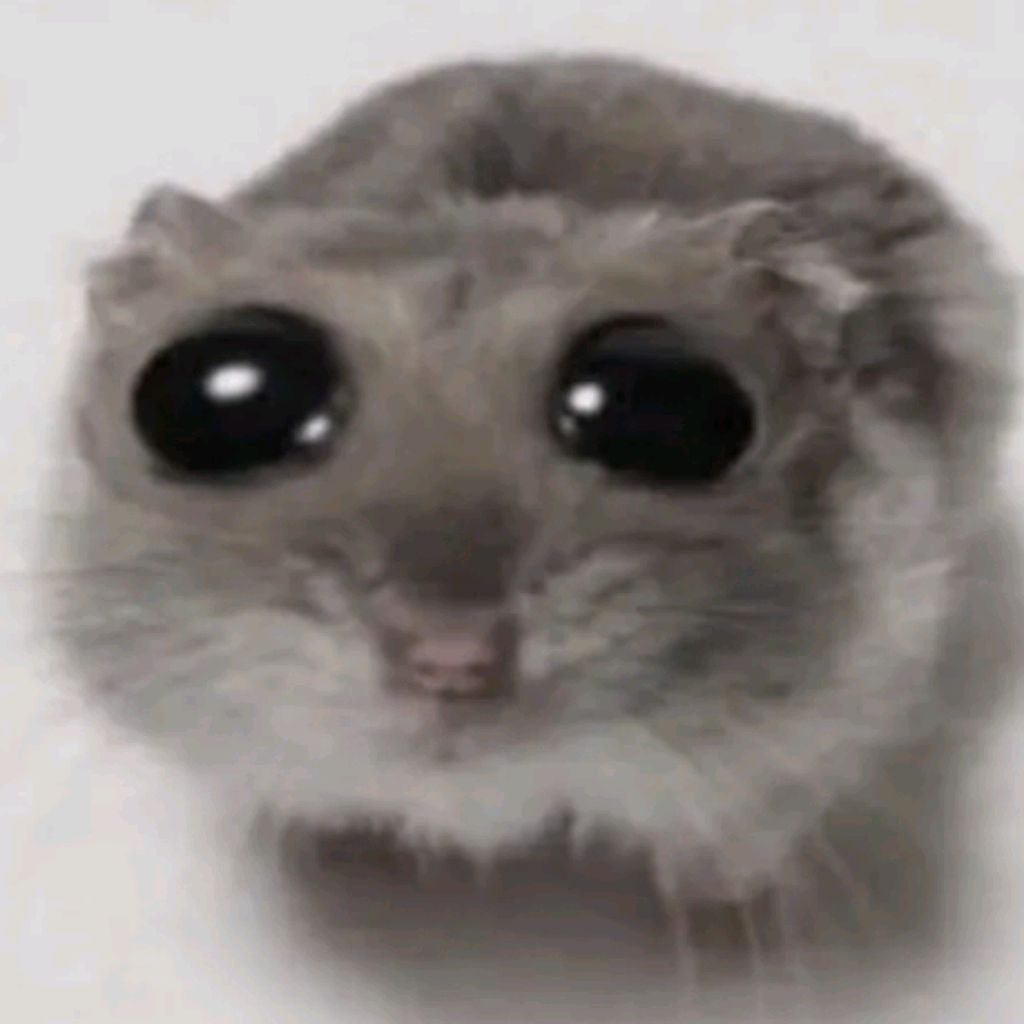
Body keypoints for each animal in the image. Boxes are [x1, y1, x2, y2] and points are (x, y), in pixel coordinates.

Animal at [50, 55, 1018, 959]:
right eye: (219, 400)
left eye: (666, 408)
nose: (450, 660)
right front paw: (345, 851)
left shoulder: (844, 698)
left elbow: (738, 832)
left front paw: (737, 936)